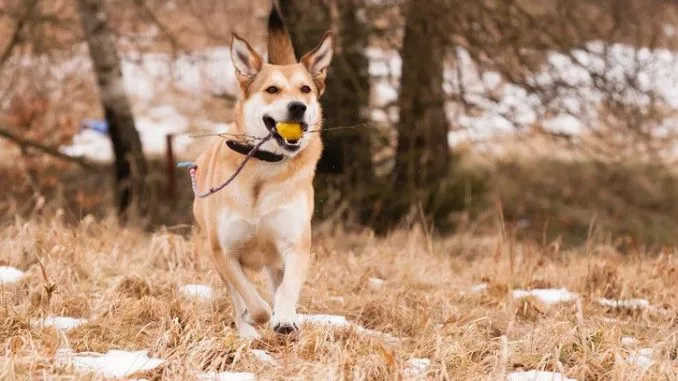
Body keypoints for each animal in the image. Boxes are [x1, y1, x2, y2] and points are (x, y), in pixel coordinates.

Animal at [191, 6, 334, 338]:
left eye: (305, 89)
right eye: (272, 89)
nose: (297, 107)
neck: (265, 166)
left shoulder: (295, 245)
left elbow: (287, 289)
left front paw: (284, 318)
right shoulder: (224, 252)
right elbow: (249, 299)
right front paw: (256, 318)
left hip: (275, 259)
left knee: (276, 283)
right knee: (237, 295)